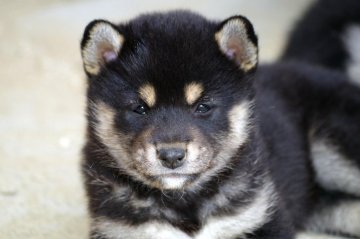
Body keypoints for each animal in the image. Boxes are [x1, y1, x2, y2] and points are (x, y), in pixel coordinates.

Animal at [79, 10, 360, 238]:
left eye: (203, 106)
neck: (184, 201)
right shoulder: (119, 230)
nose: (171, 156)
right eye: (139, 108)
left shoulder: (261, 215)